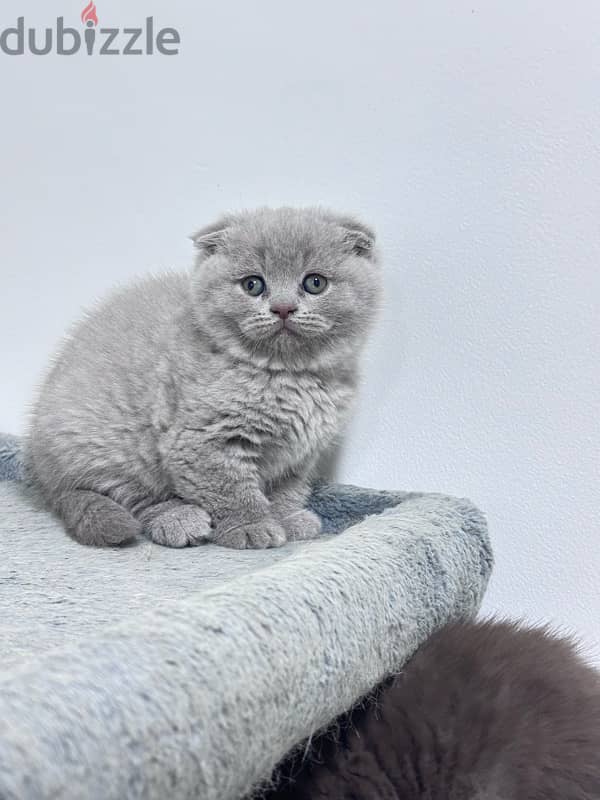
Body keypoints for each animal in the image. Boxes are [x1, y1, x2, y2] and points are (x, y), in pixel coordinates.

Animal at [24, 206, 380, 548]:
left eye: (314, 283)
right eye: (253, 285)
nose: (282, 308)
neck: (286, 374)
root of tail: (44, 476)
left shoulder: (300, 453)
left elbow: (286, 489)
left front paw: (287, 518)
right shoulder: (203, 440)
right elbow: (231, 490)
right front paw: (251, 527)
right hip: (112, 448)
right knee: (132, 497)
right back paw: (179, 520)